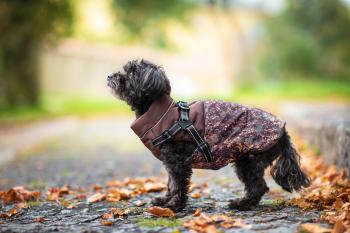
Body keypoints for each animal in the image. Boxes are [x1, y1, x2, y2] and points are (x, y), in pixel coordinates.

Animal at [106, 59, 308, 212]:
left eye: (132, 73)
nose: (110, 76)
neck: (161, 113)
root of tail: (283, 132)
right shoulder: (169, 162)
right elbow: (170, 183)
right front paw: (164, 201)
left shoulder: (178, 161)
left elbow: (177, 184)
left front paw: (174, 206)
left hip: (250, 159)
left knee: (258, 186)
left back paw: (241, 204)